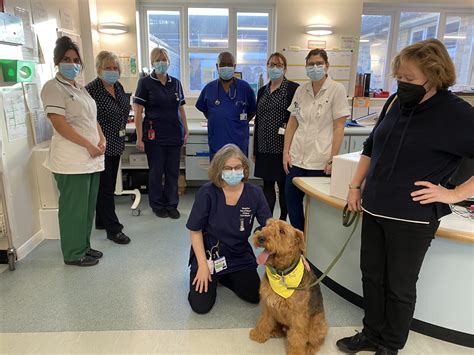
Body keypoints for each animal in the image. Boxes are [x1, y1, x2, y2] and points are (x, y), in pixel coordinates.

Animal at [250, 220, 328, 355]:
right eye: (268, 224)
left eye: (282, 231)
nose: (260, 237)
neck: (281, 273)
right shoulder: (267, 305)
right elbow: (264, 321)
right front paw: (259, 334)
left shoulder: (298, 316)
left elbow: (297, 337)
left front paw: (296, 352)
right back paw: (275, 331)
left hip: (317, 324)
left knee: (316, 340)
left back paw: (309, 348)